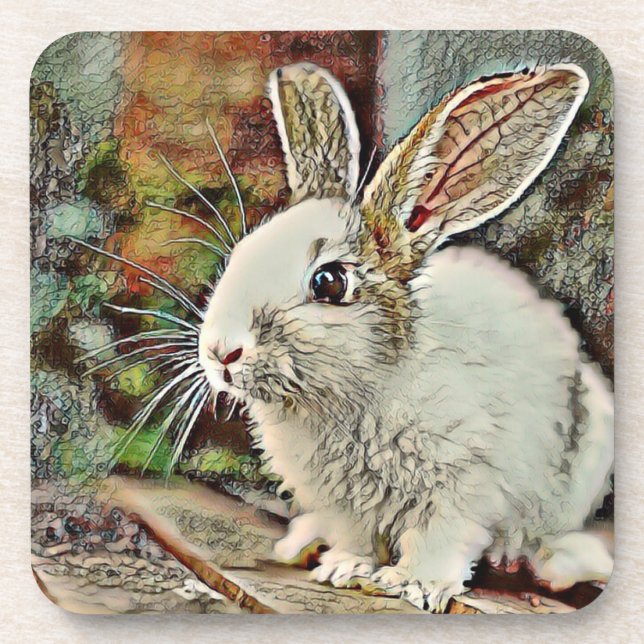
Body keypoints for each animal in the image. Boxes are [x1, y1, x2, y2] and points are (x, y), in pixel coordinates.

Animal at [198, 62, 614, 612]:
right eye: (241, 254)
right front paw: (344, 569)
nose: (221, 352)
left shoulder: (462, 486)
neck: (356, 390)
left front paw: (416, 586)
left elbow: (440, 540)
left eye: (329, 283)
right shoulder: (344, 503)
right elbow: (356, 537)